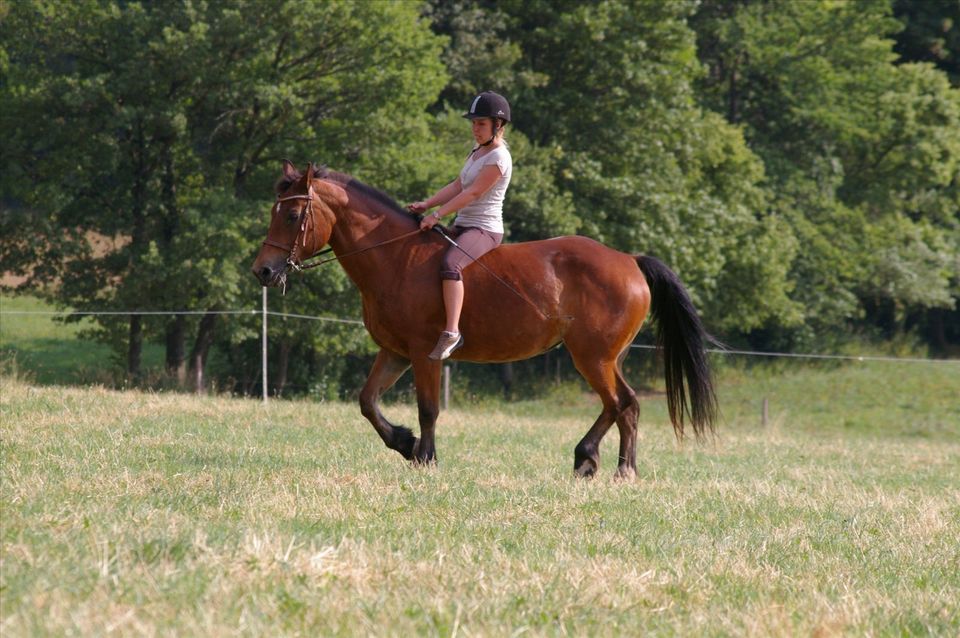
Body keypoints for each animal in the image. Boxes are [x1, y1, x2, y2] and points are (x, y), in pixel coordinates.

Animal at [251, 161, 716, 480]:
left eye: (292, 216)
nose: (263, 272)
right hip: (602, 356)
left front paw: (424, 458)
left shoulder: (424, 353)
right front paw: (404, 443)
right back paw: (597, 461)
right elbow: (367, 402)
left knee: (623, 403)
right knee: (621, 404)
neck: (395, 257)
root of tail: (629, 260)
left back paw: (612, 466)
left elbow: (428, 409)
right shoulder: (394, 352)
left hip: (593, 356)